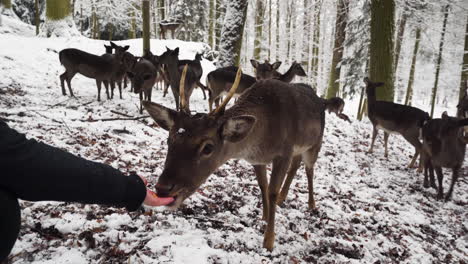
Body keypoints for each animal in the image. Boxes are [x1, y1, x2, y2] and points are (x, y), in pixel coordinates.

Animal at [143, 67, 332, 250]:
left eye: (208, 147)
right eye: (169, 139)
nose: (163, 188)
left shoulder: (284, 152)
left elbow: (272, 191)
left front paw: (269, 242)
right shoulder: (258, 160)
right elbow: (263, 186)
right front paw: (264, 217)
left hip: (315, 143)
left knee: (309, 169)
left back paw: (311, 204)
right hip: (300, 149)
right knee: (296, 165)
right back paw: (283, 198)